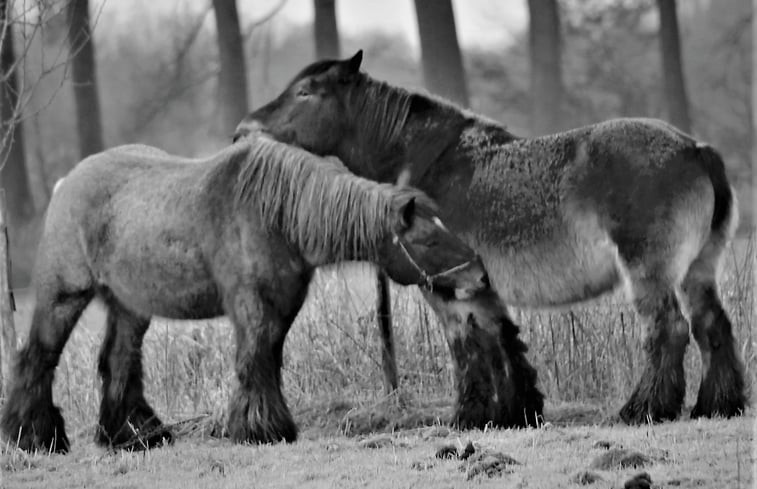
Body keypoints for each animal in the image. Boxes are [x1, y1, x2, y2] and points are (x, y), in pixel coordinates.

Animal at [0, 135, 490, 452]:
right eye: (429, 239)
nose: (480, 276)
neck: (279, 215)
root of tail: (66, 182)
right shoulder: (252, 306)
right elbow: (254, 360)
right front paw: (261, 429)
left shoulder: (281, 305)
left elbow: (268, 360)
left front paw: (265, 424)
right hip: (64, 295)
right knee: (38, 356)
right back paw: (34, 436)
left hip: (129, 305)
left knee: (118, 361)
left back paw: (134, 436)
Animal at [239, 51, 748, 428]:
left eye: (305, 92)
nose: (244, 129)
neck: (424, 163)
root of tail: (695, 148)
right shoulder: (481, 289)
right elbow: (503, 345)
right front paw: (515, 413)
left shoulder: (447, 289)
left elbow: (468, 349)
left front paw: (469, 416)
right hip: (698, 271)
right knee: (711, 326)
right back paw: (717, 406)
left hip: (649, 272)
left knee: (669, 329)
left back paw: (643, 409)